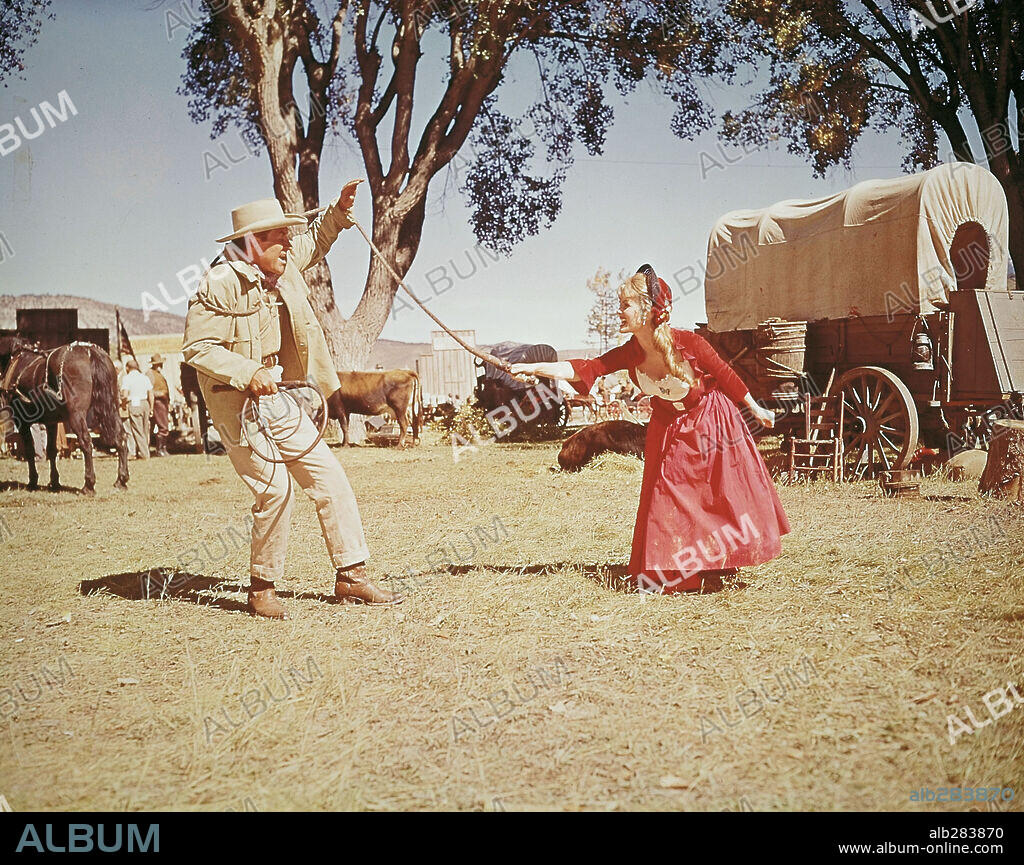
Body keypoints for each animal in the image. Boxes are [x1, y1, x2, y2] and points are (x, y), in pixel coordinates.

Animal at [0, 335, 129, 493]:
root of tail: (89, 351)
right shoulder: (51, 422)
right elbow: (51, 450)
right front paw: (54, 482)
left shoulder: (22, 421)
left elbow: (30, 449)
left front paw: (33, 481)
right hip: (111, 407)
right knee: (121, 437)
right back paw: (121, 480)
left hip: (76, 415)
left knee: (86, 442)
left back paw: (88, 485)